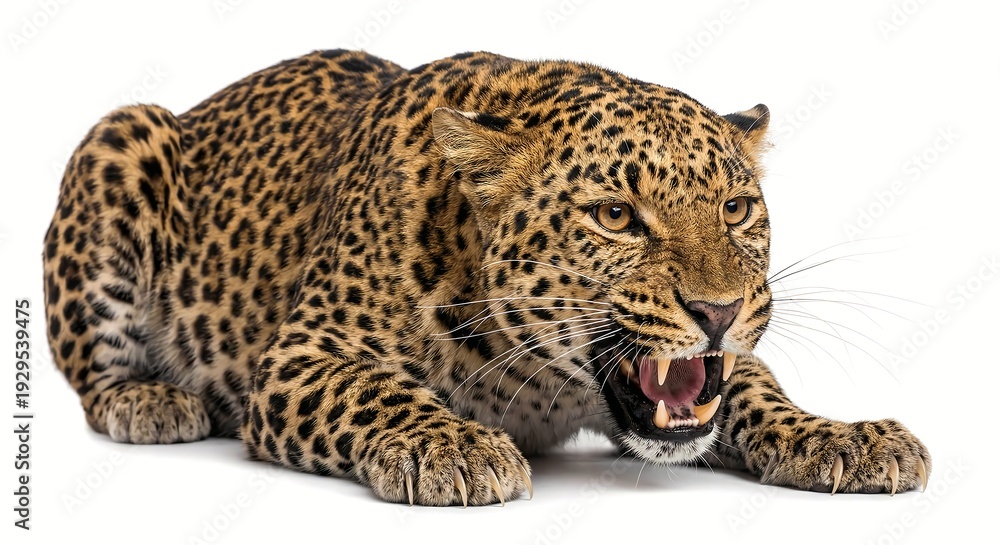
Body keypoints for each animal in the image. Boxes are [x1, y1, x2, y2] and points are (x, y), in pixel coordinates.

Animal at [43, 49, 930, 506]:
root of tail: (199, 107)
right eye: (616, 216)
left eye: (738, 208)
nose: (717, 309)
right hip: (120, 139)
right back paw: (150, 401)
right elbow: (378, 389)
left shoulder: (720, 369)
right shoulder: (303, 355)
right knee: (93, 373)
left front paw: (842, 434)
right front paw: (454, 446)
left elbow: (754, 389)